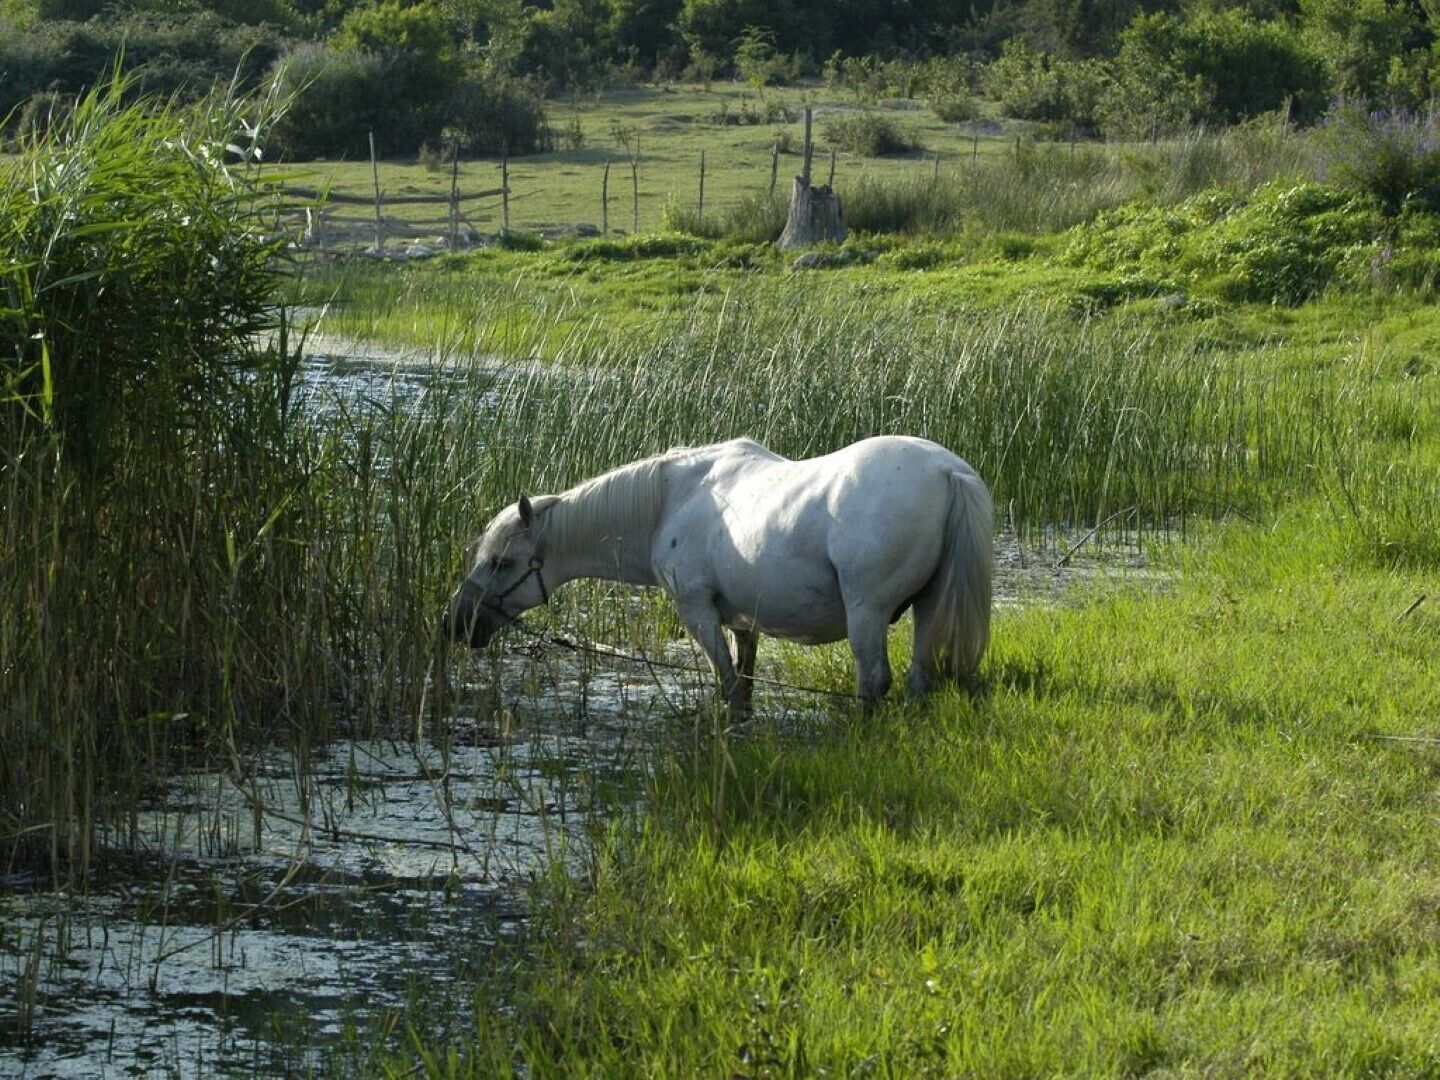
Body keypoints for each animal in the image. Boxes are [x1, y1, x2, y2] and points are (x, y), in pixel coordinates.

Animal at [443, 436, 993, 711]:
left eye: (501, 562)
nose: (455, 623)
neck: (671, 500)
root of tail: (948, 472)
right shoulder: (743, 621)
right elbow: (743, 683)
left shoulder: (698, 611)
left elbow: (725, 682)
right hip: (927, 607)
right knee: (919, 678)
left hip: (868, 613)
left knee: (874, 682)